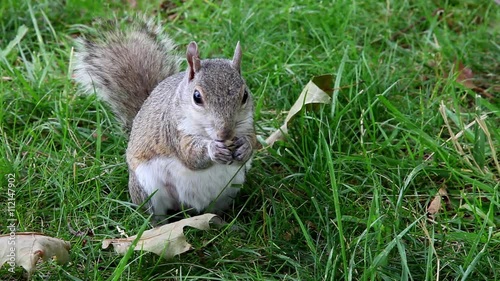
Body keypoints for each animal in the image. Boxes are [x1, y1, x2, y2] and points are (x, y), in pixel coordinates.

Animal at [74, 17, 258, 219]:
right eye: (197, 97)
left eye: (245, 95)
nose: (225, 133)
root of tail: (188, 207)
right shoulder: (173, 131)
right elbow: (190, 155)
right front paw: (213, 149)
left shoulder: (248, 124)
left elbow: (253, 140)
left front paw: (245, 147)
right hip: (147, 188)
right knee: (154, 214)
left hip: (229, 189)